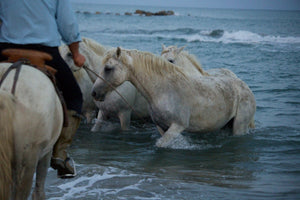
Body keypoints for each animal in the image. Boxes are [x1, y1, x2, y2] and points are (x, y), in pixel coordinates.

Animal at [91, 47, 255, 148]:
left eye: (108, 68)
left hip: (239, 126)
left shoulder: (177, 126)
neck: (164, 90)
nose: (94, 93)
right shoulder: (161, 127)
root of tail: (245, 86)